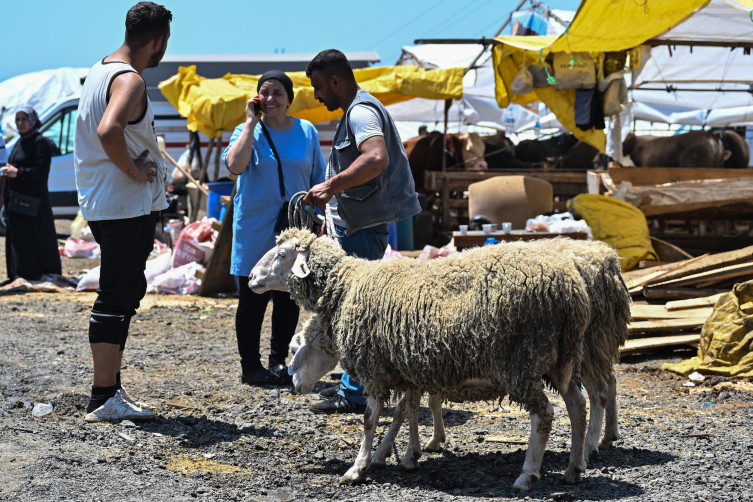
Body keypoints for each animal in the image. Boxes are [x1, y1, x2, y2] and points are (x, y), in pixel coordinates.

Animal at [250, 228, 592, 490]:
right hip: (560, 359)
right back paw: (574, 469)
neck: (346, 286)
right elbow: (410, 410)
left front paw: (357, 468)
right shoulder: (409, 366)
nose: (251, 277)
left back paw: (527, 476)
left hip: (521, 359)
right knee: (577, 404)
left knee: (545, 413)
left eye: (282, 254)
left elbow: (370, 420)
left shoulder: (375, 369)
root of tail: (569, 286)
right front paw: (409, 456)